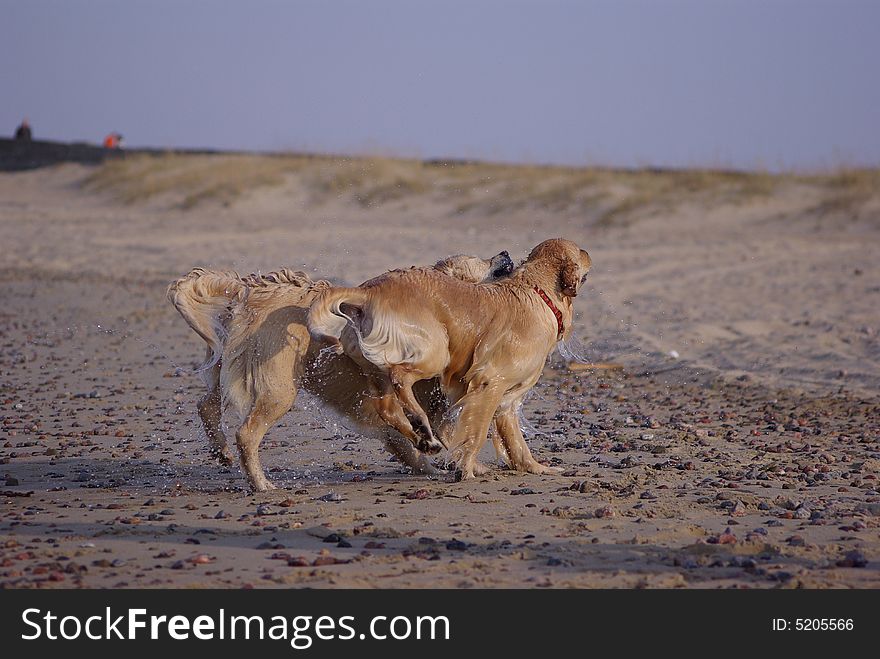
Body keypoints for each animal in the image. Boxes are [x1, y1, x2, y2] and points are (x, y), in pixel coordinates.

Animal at [168, 250, 512, 492]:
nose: (506, 253)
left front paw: (428, 454)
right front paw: (463, 462)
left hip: (225, 368)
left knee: (206, 404)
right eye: (479, 262)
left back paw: (222, 452)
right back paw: (260, 483)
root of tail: (249, 290)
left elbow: (407, 438)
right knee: (247, 433)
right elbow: (449, 433)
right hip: (279, 389)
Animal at [308, 237, 592, 480]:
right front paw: (466, 469)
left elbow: (516, 443)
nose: (588, 252)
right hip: (435, 353)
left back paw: (424, 439)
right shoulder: (490, 383)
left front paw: (537, 468)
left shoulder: (507, 400)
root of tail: (369, 291)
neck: (537, 293)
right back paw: (420, 423)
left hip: (376, 367)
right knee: (401, 378)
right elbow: (476, 433)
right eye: (579, 251)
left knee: (387, 407)